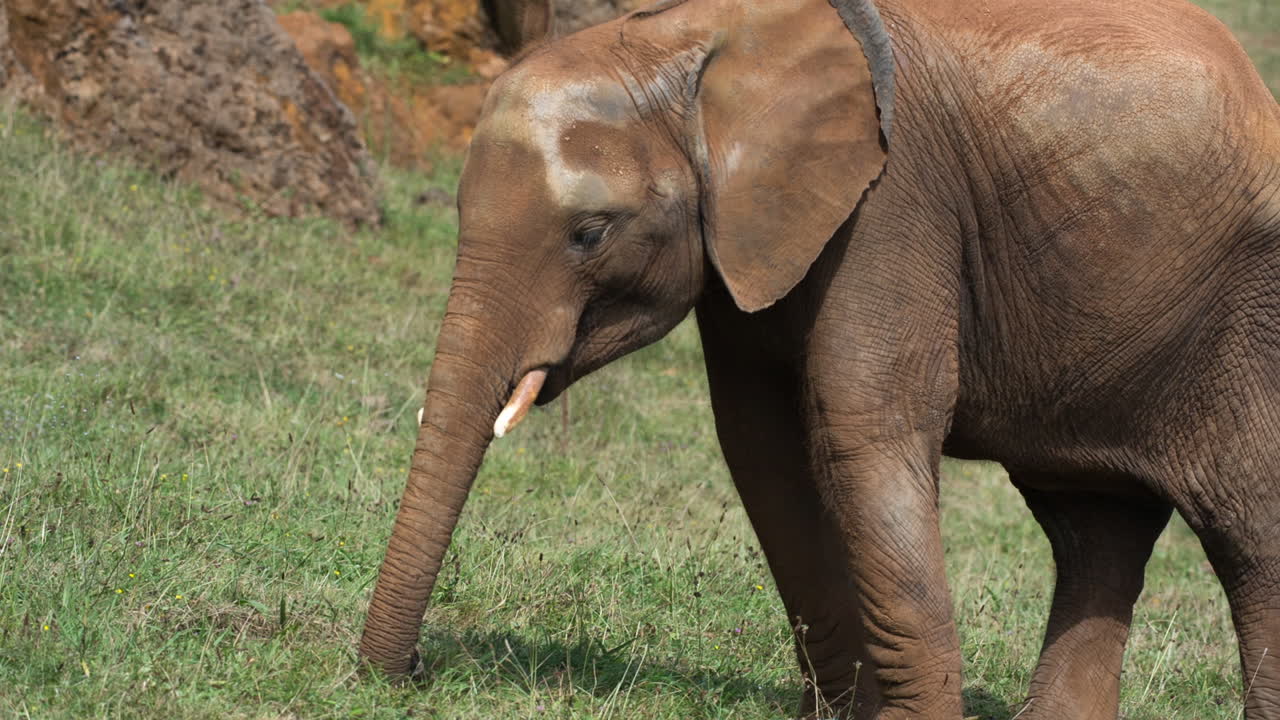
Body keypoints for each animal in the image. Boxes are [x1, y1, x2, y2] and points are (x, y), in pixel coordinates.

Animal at [357, 0, 1280, 717]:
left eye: (590, 233)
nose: (411, 673)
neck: (696, 40)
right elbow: (762, 443)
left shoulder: (893, 199)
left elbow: (860, 425)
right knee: (1095, 530)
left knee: (1248, 533)